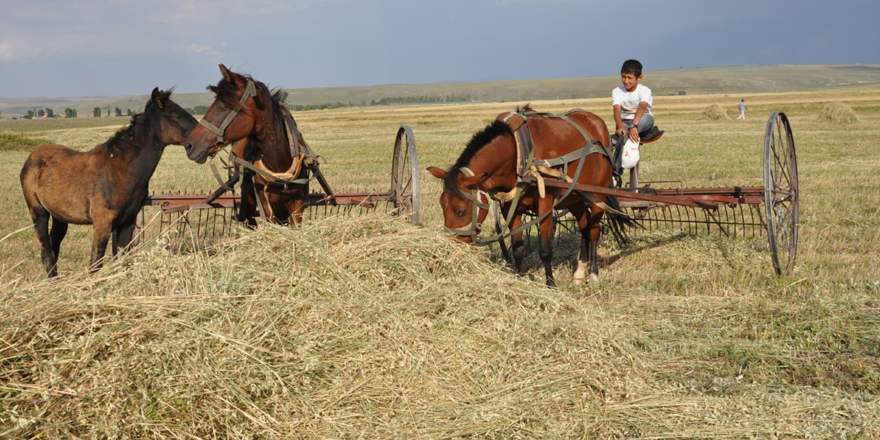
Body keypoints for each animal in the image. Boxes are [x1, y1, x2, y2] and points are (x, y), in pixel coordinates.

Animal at [19, 87, 199, 276]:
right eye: (176, 115)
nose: (196, 143)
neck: (121, 169)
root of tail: (32, 156)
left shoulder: (127, 222)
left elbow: (124, 261)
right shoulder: (102, 223)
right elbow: (95, 263)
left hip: (60, 217)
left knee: (54, 247)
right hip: (38, 211)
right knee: (46, 250)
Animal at [426, 105, 624, 286]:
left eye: (461, 211)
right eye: (442, 206)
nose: (450, 249)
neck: (519, 153)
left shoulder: (545, 205)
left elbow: (545, 249)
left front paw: (550, 285)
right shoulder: (510, 208)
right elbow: (518, 249)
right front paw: (522, 280)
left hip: (598, 193)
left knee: (594, 231)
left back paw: (594, 275)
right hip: (574, 197)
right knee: (584, 225)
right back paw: (579, 273)